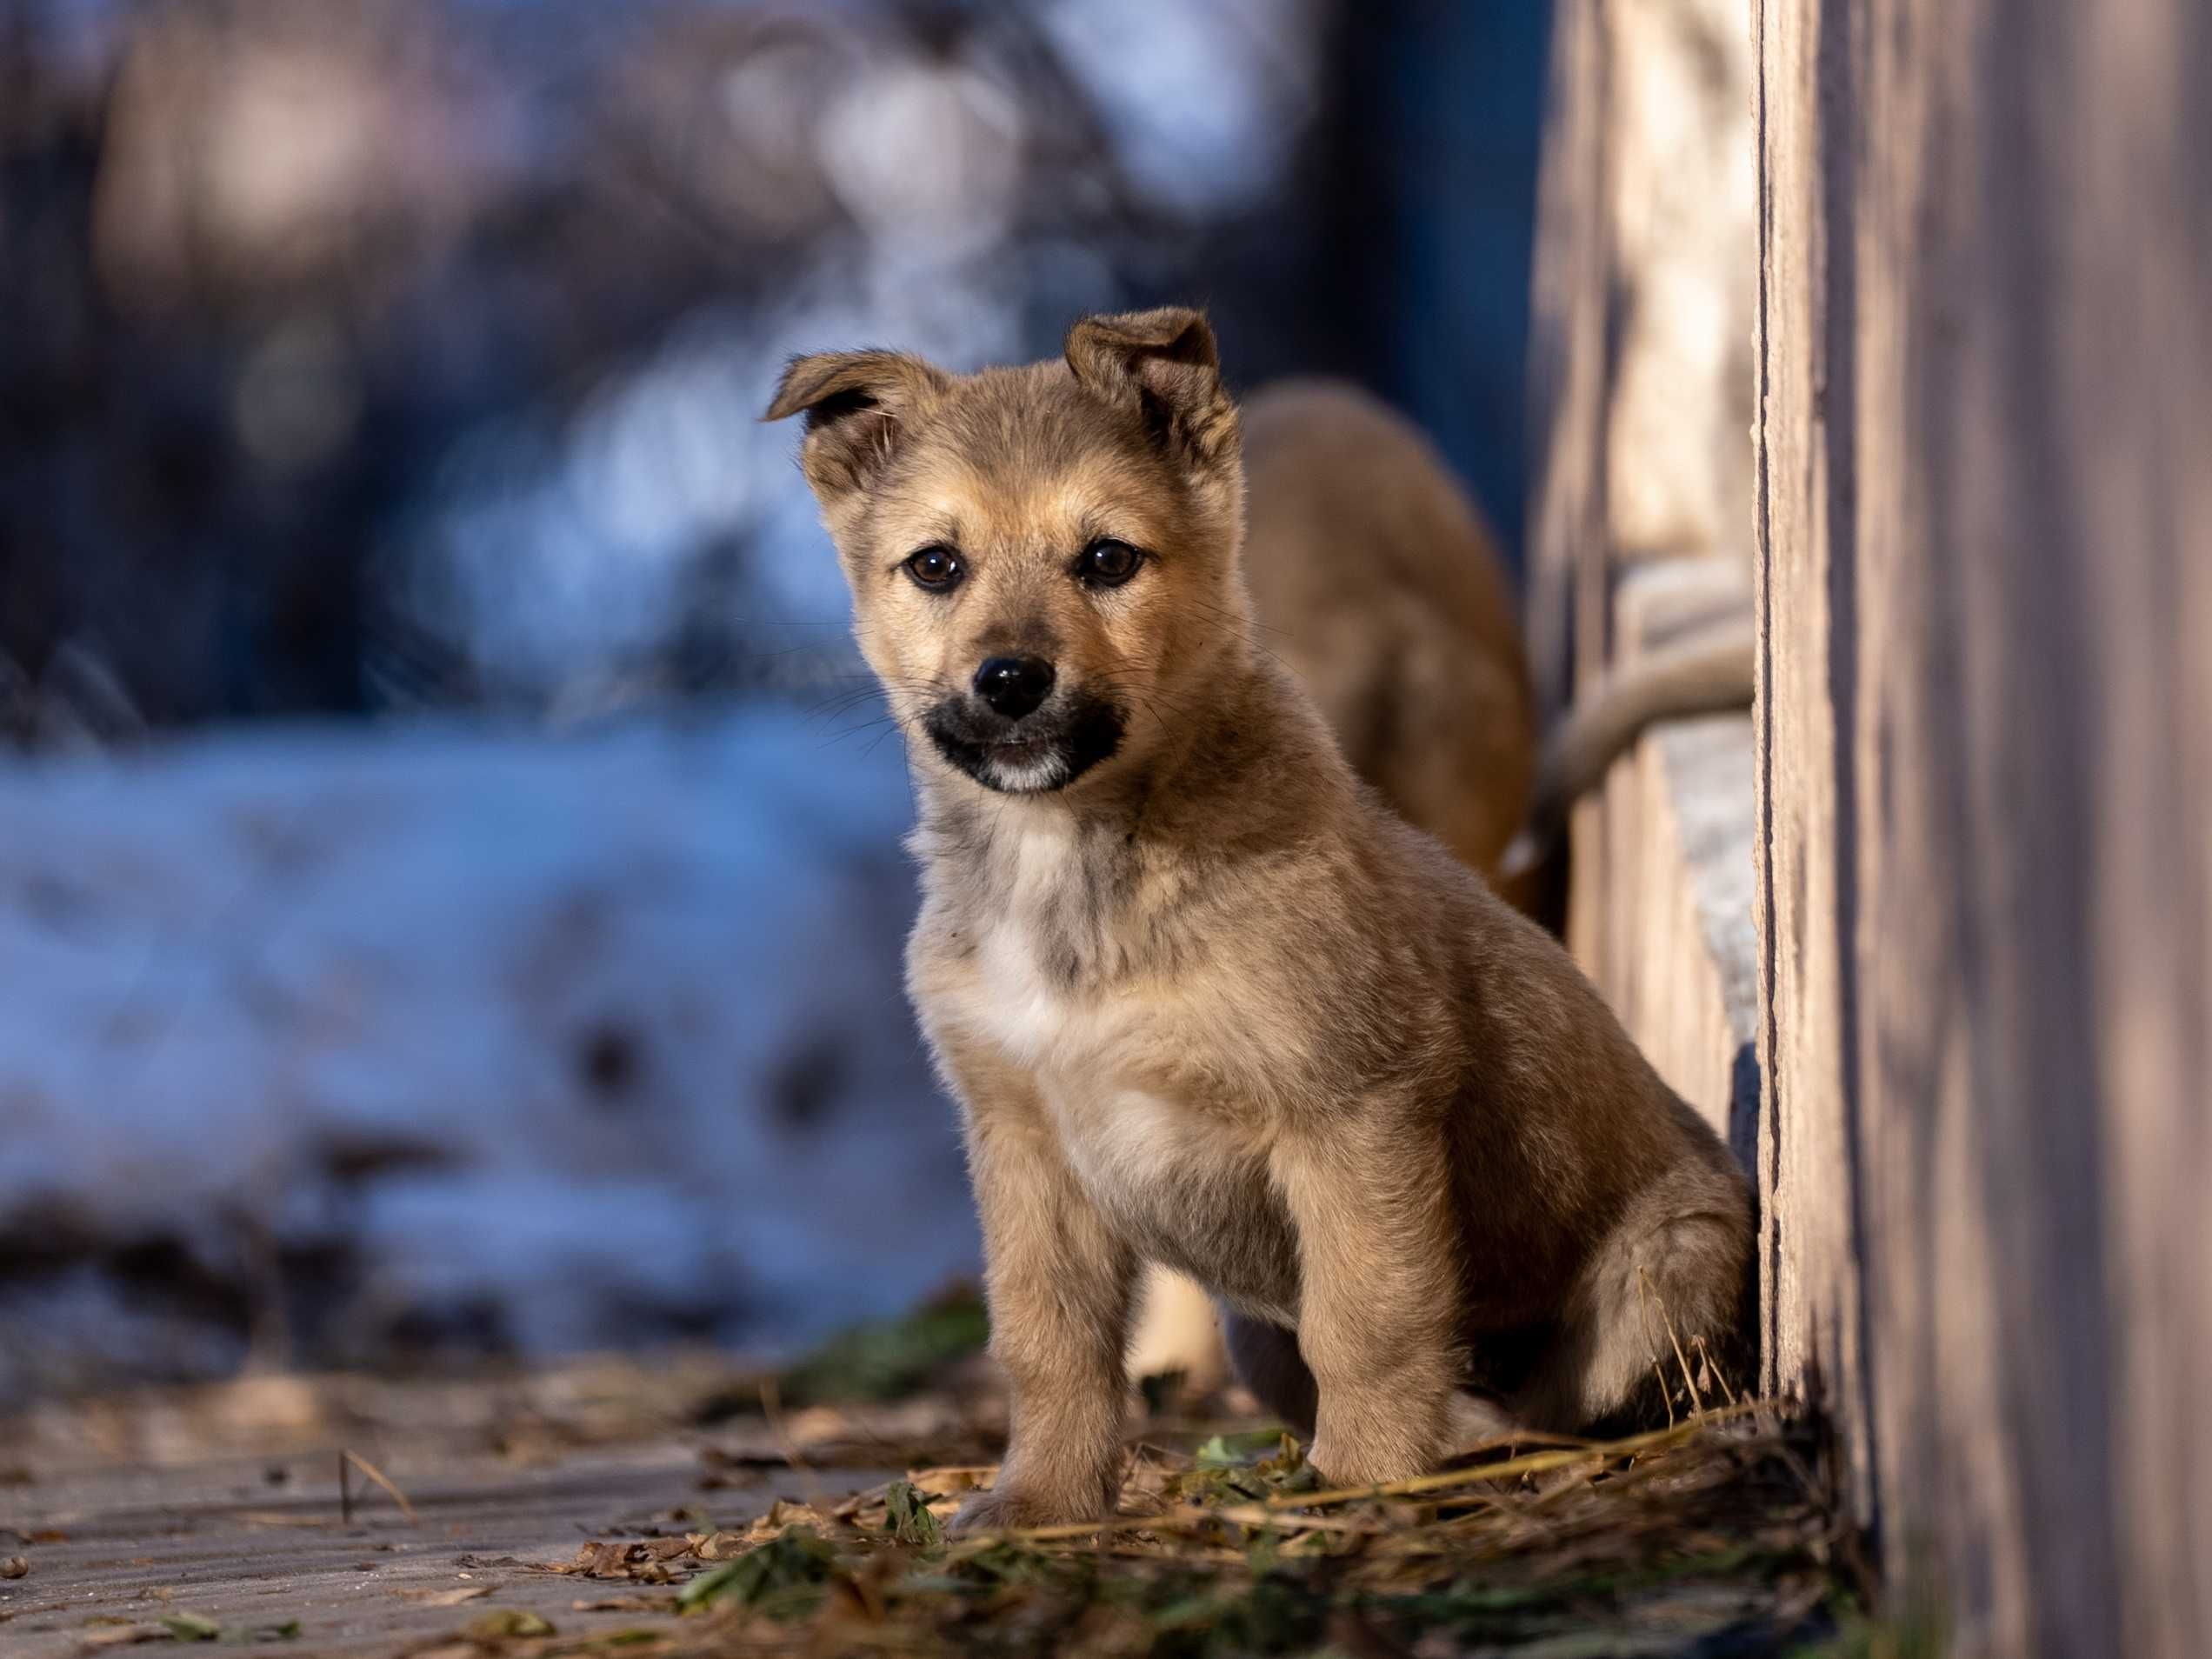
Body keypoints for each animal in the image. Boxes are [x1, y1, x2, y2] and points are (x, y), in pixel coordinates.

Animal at [770, 311, 1751, 1530]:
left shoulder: (1353, 1114)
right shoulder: (1024, 1144)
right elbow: (1051, 1346)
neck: (1075, 859)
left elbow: (1370, 1322)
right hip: (1257, 1336)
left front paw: (1363, 1480)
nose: (1010, 680)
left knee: (1571, 1400)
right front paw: (1043, 1500)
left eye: (1108, 560)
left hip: (1669, 1265)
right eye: (936, 566)